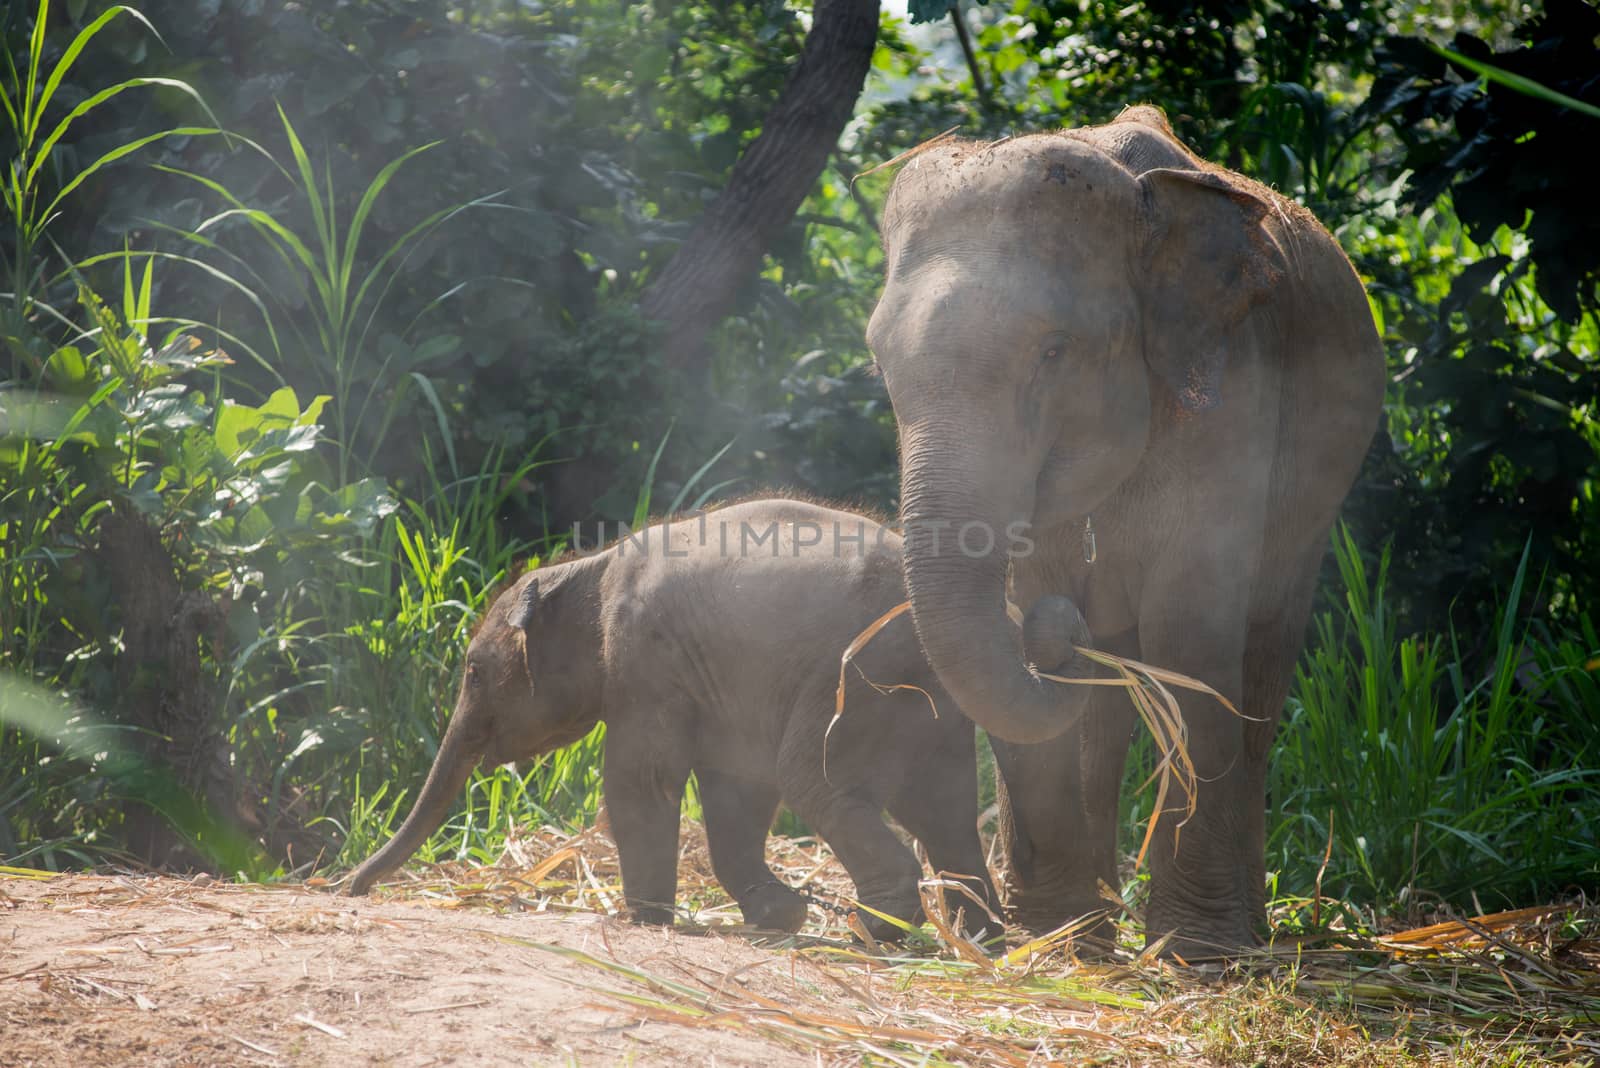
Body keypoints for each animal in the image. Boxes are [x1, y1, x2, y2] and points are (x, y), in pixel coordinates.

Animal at [347, 495, 1088, 940]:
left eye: (473, 672)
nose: (352, 889)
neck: (588, 568)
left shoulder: (644, 663)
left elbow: (642, 782)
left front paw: (647, 921)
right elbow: (737, 791)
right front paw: (781, 915)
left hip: (858, 678)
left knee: (816, 780)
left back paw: (876, 931)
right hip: (926, 702)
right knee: (944, 808)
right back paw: (979, 937)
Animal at [870, 110, 1382, 959]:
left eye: (1053, 351)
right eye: (879, 359)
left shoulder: (1233, 383)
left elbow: (1190, 629)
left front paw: (1194, 950)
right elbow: (1039, 613)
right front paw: (1055, 937)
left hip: (1321, 491)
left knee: (1262, 664)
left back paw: (1241, 931)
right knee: (1104, 712)